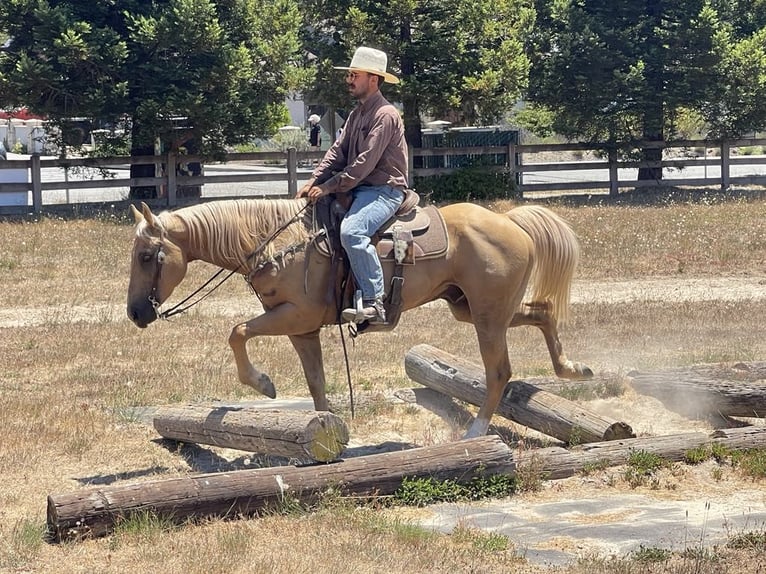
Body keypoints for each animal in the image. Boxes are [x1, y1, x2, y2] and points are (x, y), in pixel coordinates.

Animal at [126, 198, 592, 438]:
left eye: (147, 255)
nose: (135, 312)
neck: (277, 243)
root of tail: (509, 220)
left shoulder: (293, 315)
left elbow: (237, 331)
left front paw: (262, 384)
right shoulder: (301, 327)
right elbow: (315, 382)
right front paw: (325, 432)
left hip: (487, 315)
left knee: (499, 371)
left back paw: (477, 431)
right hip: (470, 307)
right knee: (543, 312)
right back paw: (573, 369)